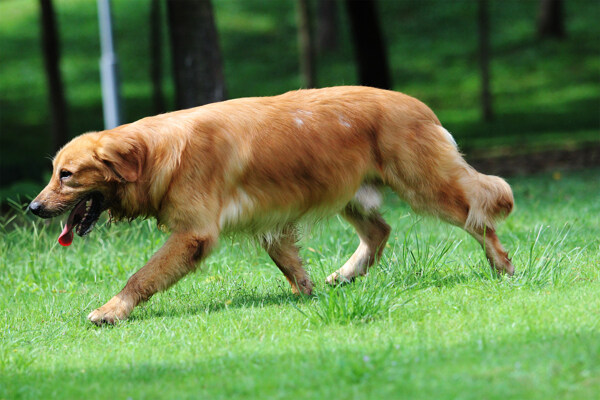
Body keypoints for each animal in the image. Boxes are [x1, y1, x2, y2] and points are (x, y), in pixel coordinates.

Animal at [29, 86, 516, 324]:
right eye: (53, 171)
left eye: (66, 175)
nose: (33, 208)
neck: (157, 153)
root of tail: (421, 106)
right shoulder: (269, 222)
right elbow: (290, 265)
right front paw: (308, 294)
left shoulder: (194, 233)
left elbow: (142, 276)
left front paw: (112, 310)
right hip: (347, 191)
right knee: (380, 231)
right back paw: (346, 273)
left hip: (424, 187)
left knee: (479, 216)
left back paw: (503, 266)